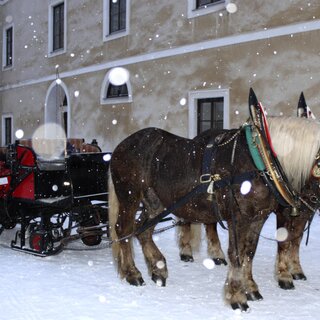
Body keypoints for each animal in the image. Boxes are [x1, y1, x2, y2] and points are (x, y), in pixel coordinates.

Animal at [108, 91, 320, 312]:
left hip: (156, 202)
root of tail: (121, 146)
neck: (261, 160)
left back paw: (158, 269)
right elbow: (238, 253)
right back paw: (132, 273)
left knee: (143, 230)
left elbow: (250, 252)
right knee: (124, 229)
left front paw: (251, 287)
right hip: (130, 196)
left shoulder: (259, 217)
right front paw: (237, 296)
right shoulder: (240, 218)